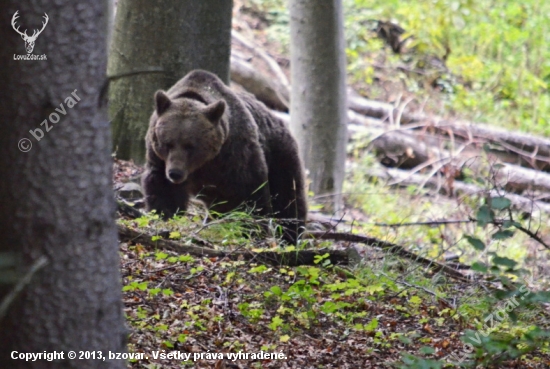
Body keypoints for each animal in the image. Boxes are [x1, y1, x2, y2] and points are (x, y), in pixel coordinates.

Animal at [140, 68, 308, 243]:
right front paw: (165, 216)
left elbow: (249, 192)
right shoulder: (159, 160)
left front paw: (250, 229)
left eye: (190, 146)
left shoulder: (235, 156)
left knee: (288, 198)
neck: (204, 164)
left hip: (280, 157)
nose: (175, 173)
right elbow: (163, 189)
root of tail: (279, 120)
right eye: (167, 143)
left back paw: (291, 235)